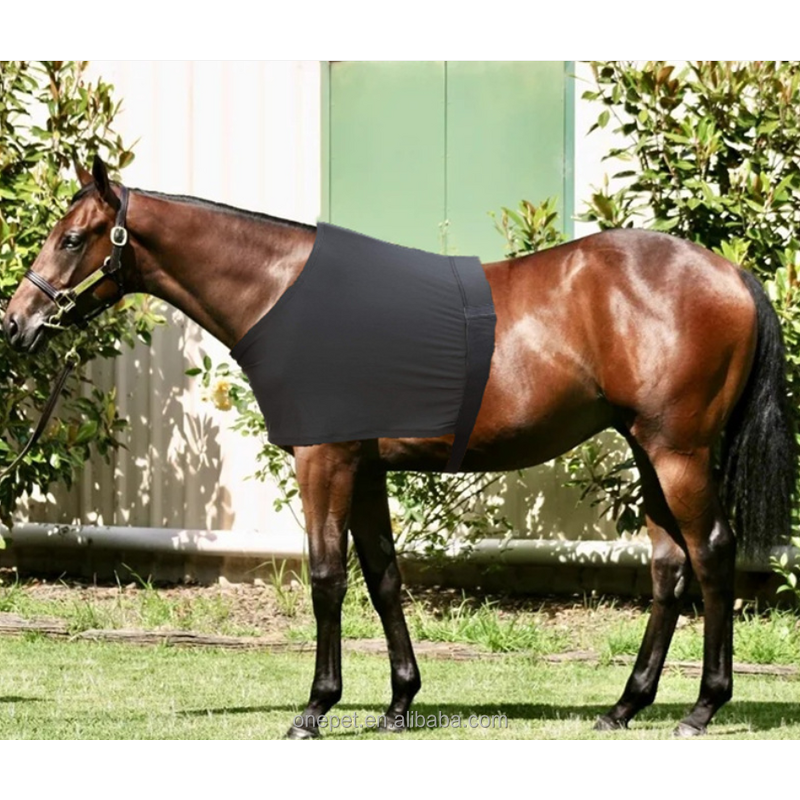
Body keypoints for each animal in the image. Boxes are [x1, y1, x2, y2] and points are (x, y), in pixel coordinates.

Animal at [4, 156, 794, 738]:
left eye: (71, 238)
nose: (17, 322)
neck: (287, 294)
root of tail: (729, 271)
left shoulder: (324, 459)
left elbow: (327, 576)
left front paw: (315, 708)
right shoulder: (366, 466)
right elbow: (383, 575)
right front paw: (399, 702)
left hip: (677, 451)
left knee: (712, 554)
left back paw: (703, 706)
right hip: (645, 448)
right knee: (669, 568)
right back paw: (626, 705)